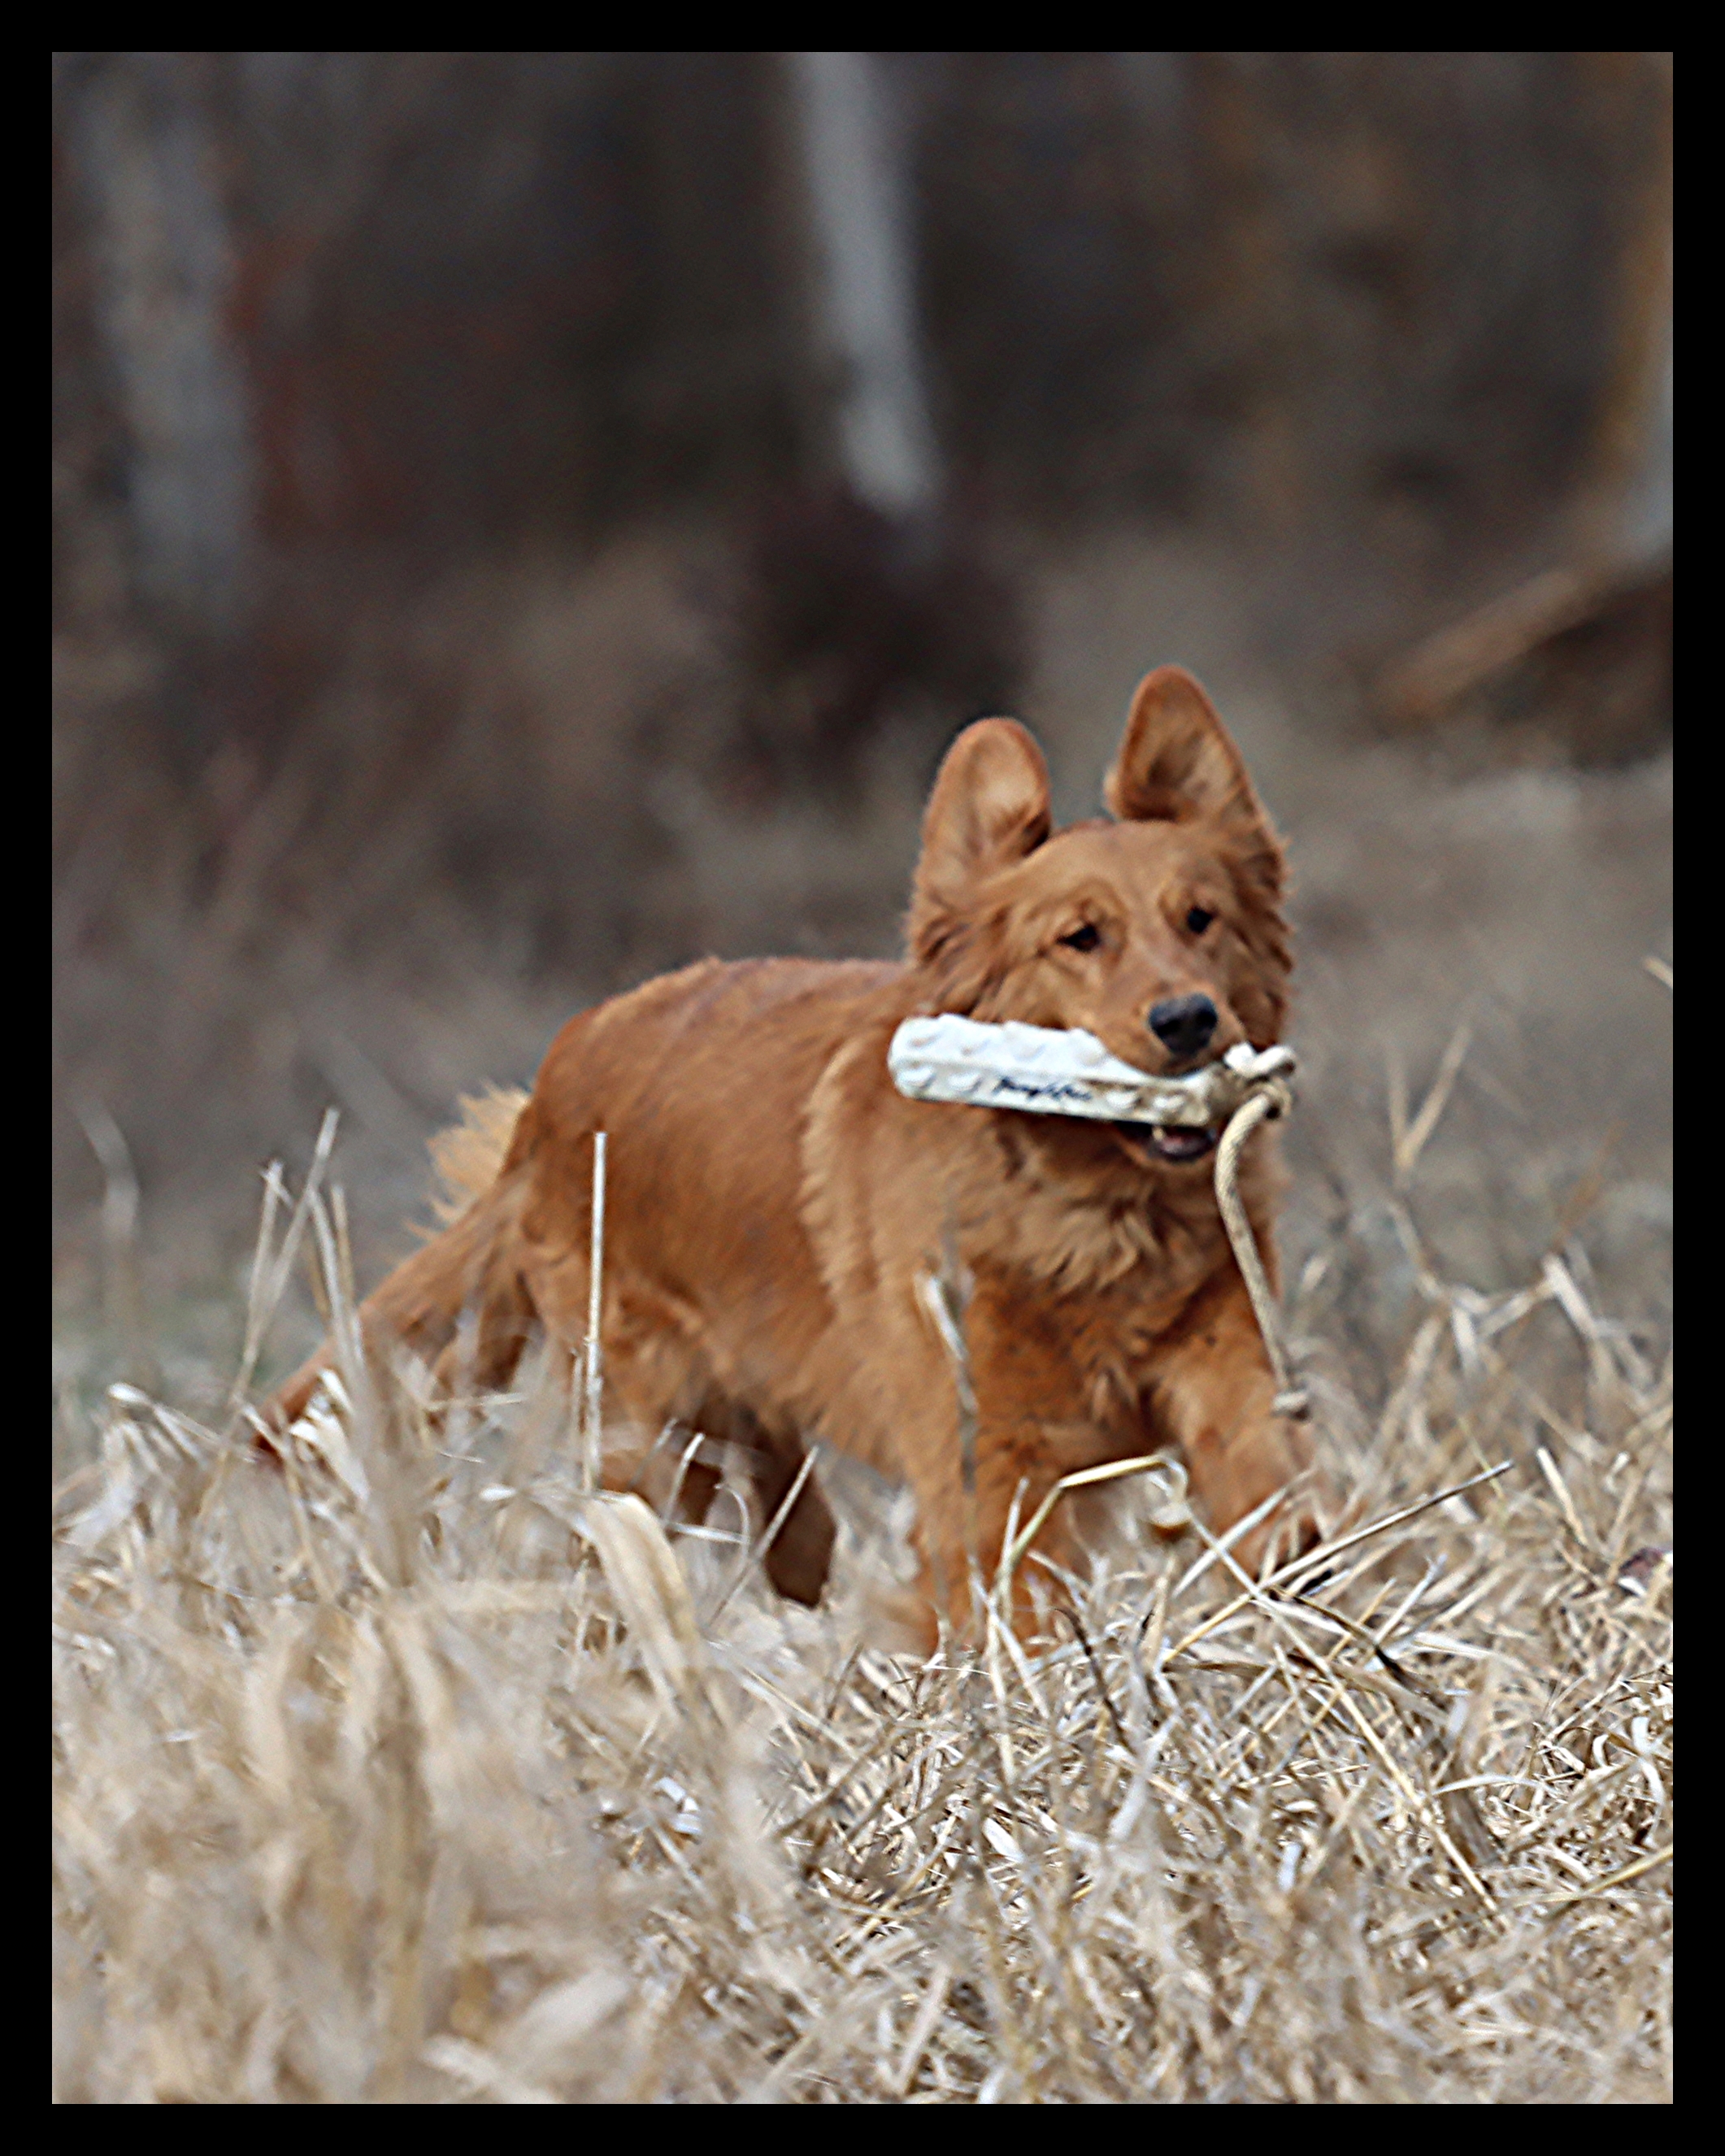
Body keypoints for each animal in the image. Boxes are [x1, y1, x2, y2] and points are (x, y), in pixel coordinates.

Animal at [269, 663, 1319, 1638]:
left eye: (1200, 919)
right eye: (1081, 938)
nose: (1188, 1019)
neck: (1089, 1215)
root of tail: (558, 1072)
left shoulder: (1230, 1369)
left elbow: (1271, 1500)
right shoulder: (993, 1460)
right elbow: (1006, 1601)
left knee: (776, 1482)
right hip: (653, 1427)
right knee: (630, 1534)